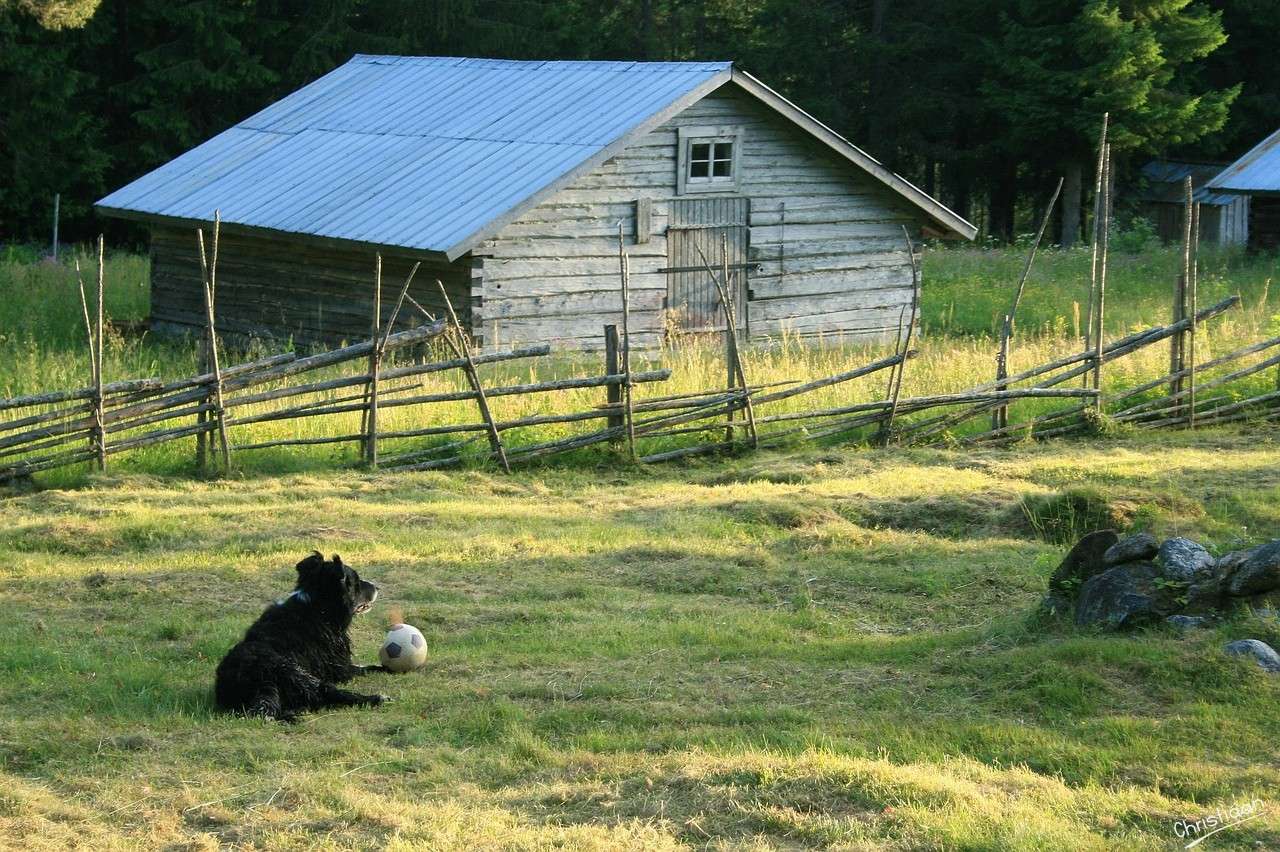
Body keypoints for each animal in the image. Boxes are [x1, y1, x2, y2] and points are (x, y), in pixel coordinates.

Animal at [215, 550, 389, 716]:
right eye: (357, 583)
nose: (378, 587)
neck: (319, 609)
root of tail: (256, 681)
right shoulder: (339, 669)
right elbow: (364, 668)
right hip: (295, 672)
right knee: (326, 693)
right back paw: (376, 698)